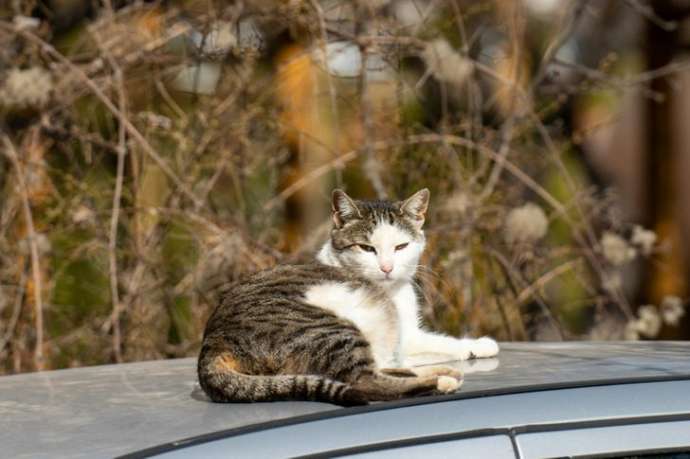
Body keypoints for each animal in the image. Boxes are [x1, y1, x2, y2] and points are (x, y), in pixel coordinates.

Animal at [196, 188, 498, 406]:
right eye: (366, 248)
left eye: (401, 247)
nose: (387, 267)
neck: (392, 291)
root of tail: (212, 345)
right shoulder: (404, 337)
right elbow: (440, 342)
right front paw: (479, 346)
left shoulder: (405, 339)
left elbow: (435, 344)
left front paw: (476, 348)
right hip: (330, 329)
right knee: (365, 381)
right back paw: (441, 381)